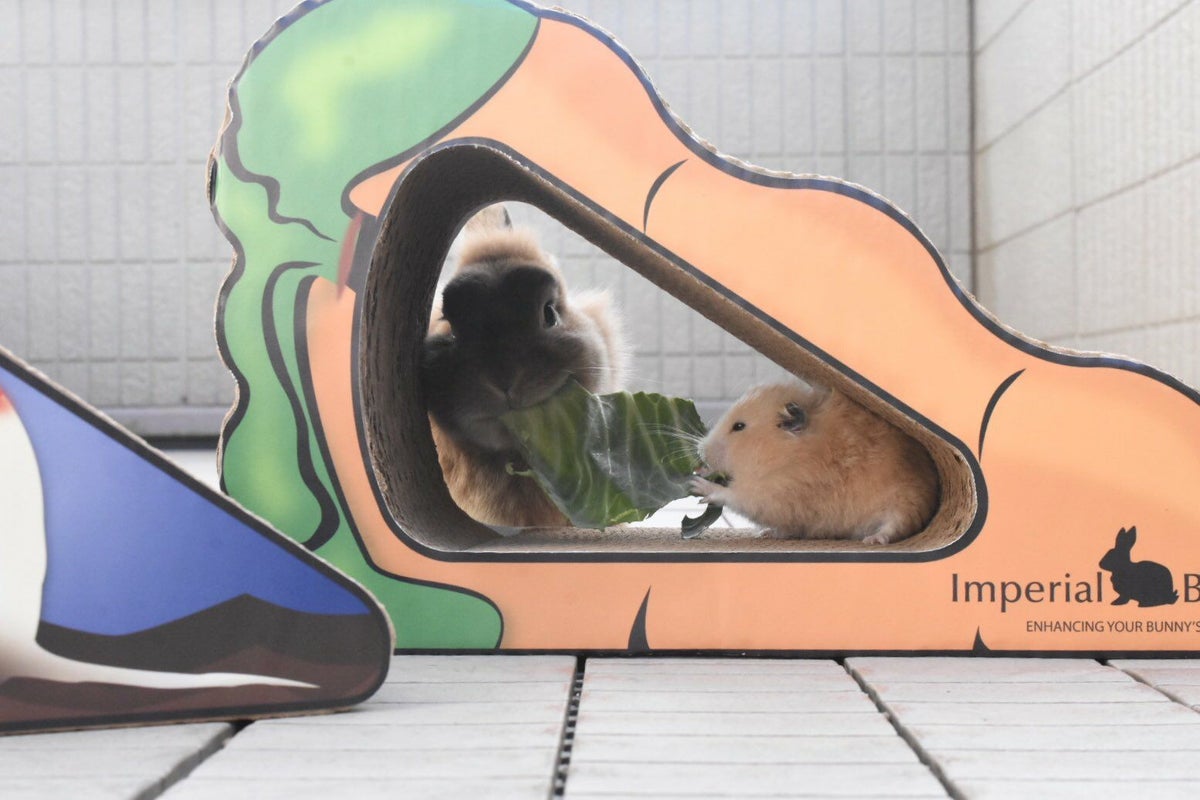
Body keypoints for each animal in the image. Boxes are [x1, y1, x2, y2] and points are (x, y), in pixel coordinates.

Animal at [688, 377, 939, 544]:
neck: (787, 455)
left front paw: (697, 485)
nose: (701, 451)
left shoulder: (780, 494)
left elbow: (735, 496)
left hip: (906, 503)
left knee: (897, 527)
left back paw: (872, 539)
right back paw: (766, 533)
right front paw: (699, 472)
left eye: (739, 426)